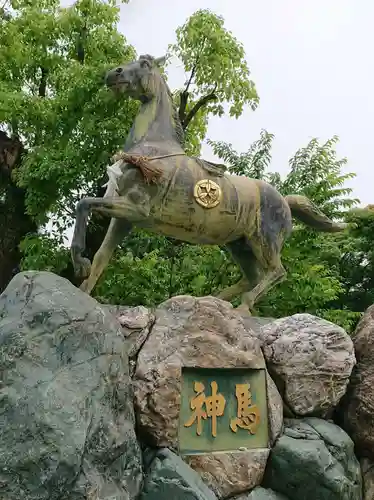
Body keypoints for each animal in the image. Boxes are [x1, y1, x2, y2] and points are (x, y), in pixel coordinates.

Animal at [71, 54, 348, 312]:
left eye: (145, 63)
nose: (113, 73)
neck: (151, 147)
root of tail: (286, 202)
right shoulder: (124, 218)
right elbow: (101, 255)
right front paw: (84, 287)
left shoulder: (138, 208)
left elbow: (83, 204)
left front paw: (80, 264)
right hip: (239, 245)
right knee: (253, 277)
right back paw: (212, 300)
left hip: (264, 240)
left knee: (276, 272)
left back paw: (242, 306)